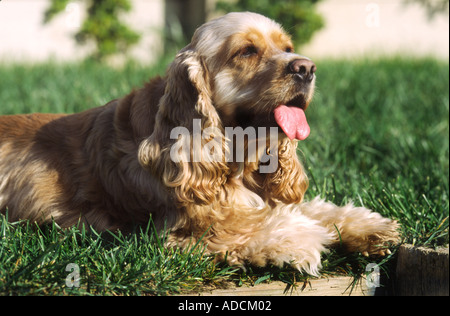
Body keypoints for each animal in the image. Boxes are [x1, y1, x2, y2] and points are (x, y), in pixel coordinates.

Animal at [0, 12, 400, 274]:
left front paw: (368, 227)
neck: (235, 156)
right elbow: (261, 224)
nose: (306, 68)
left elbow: (314, 209)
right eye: (247, 51)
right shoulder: (186, 232)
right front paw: (299, 239)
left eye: (287, 47)